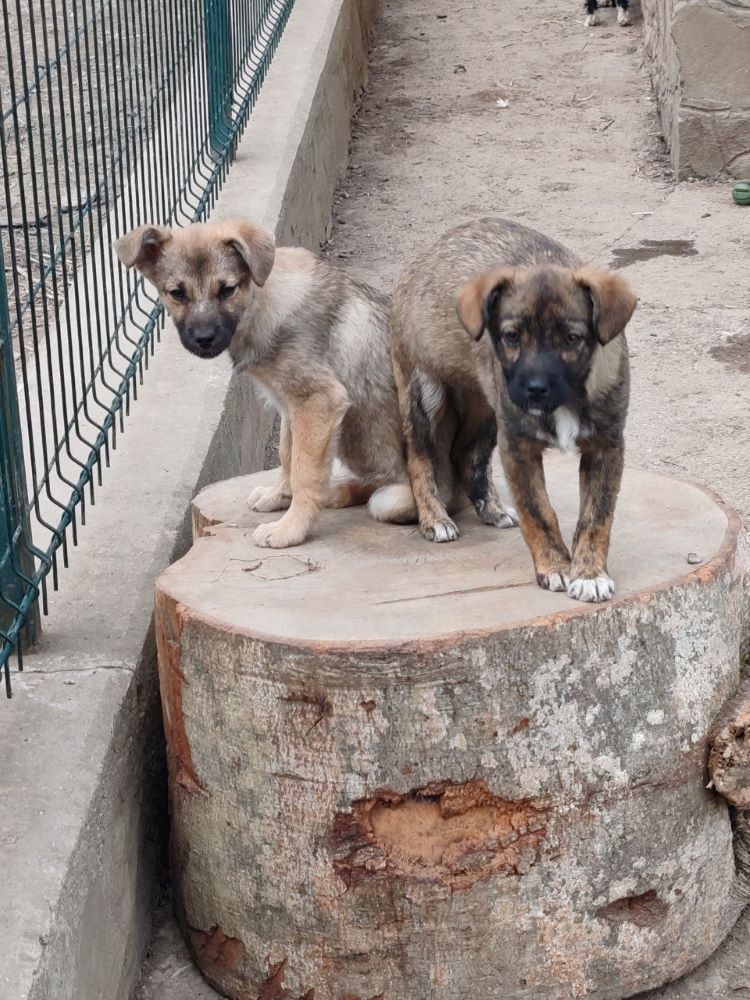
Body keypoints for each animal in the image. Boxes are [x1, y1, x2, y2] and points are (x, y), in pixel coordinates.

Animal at [116, 221, 418, 548]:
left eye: (227, 290)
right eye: (177, 293)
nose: (204, 338)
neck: (261, 303)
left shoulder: (318, 401)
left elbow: (304, 472)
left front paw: (291, 528)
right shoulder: (290, 406)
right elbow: (288, 457)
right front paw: (279, 498)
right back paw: (339, 490)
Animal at [390, 218, 636, 600]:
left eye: (572, 338)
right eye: (511, 336)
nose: (534, 389)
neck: (568, 397)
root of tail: (426, 253)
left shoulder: (606, 445)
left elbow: (597, 516)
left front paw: (589, 573)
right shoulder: (519, 446)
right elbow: (539, 511)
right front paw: (555, 566)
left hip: (486, 407)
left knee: (467, 455)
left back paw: (491, 509)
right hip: (424, 390)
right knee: (419, 456)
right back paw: (434, 519)